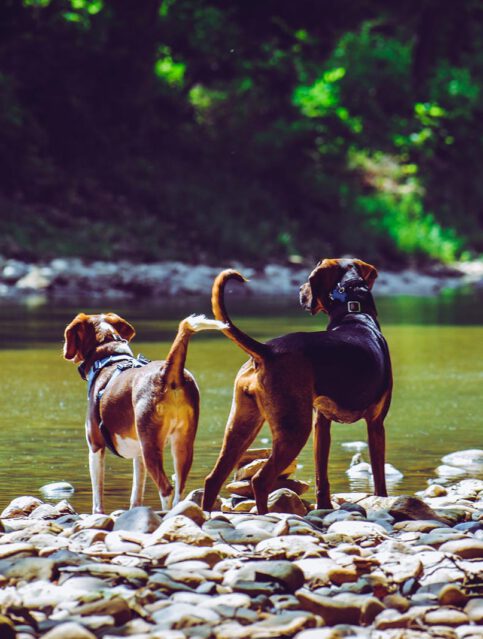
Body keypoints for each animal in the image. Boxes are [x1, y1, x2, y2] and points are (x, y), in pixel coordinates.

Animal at [63, 312, 227, 512]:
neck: (109, 357)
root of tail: (167, 372)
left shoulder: (95, 446)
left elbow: (97, 496)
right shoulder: (138, 454)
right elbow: (136, 493)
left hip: (151, 447)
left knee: (166, 489)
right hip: (182, 445)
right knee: (179, 489)